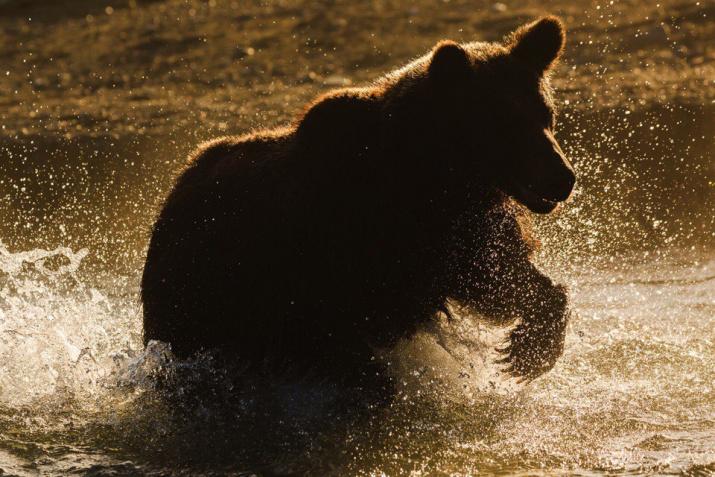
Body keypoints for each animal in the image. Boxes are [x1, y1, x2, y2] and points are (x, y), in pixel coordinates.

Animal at [143, 16, 580, 384]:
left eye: (546, 114)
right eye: (506, 123)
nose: (563, 177)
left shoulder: (456, 236)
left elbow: (501, 279)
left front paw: (527, 350)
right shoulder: (333, 251)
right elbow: (336, 339)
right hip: (200, 299)